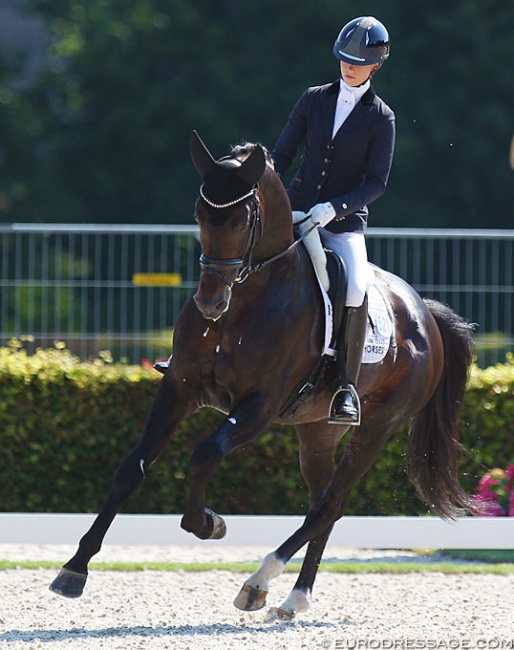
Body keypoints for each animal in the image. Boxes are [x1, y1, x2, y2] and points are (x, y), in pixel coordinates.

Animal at [49, 130, 472, 616]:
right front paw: (74, 569)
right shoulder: (180, 387)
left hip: (378, 426)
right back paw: (292, 597)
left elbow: (205, 453)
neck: (246, 299)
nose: (210, 301)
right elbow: (130, 467)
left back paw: (260, 580)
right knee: (327, 502)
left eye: (244, 219)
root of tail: (425, 312)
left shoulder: (260, 406)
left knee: (329, 502)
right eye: (199, 214)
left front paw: (208, 523)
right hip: (317, 430)